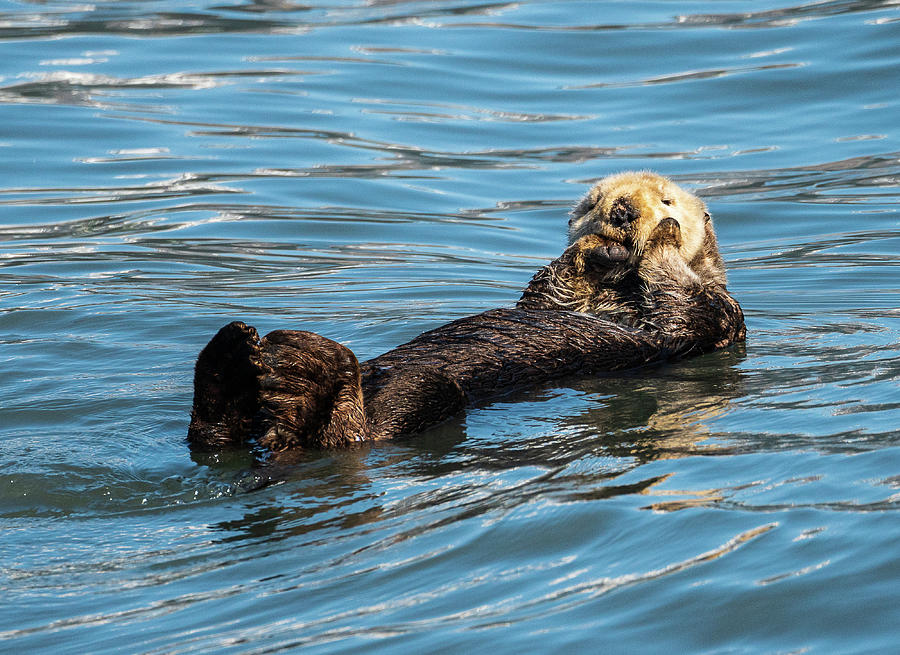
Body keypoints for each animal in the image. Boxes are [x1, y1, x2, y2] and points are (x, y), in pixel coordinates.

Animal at [186, 172, 740, 456]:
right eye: (592, 205)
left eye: (666, 199)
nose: (622, 212)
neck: (615, 292)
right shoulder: (549, 299)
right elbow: (552, 288)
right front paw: (590, 252)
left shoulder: (716, 318)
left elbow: (685, 302)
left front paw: (661, 236)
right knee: (215, 434)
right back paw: (233, 357)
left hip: (426, 394)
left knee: (349, 432)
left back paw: (303, 374)